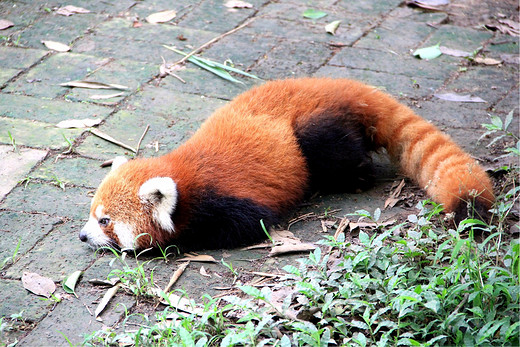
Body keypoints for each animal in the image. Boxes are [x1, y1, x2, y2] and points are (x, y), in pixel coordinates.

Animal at [78, 78, 496, 251]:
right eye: (91, 215)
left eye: (105, 221)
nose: (82, 236)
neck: (185, 178)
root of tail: (341, 85)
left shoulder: (230, 200)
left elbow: (243, 227)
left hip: (316, 129)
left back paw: (355, 178)